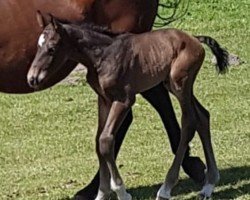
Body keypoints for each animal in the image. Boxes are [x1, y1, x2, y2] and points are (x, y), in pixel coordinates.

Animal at [0, 0, 205, 199]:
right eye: (37, 46)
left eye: (51, 49)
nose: (32, 78)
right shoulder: (105, 98)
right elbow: (100, 141)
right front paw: (105, 190)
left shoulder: (122, 97)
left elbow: (105, 139)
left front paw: (120, 190)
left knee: (180, 116)